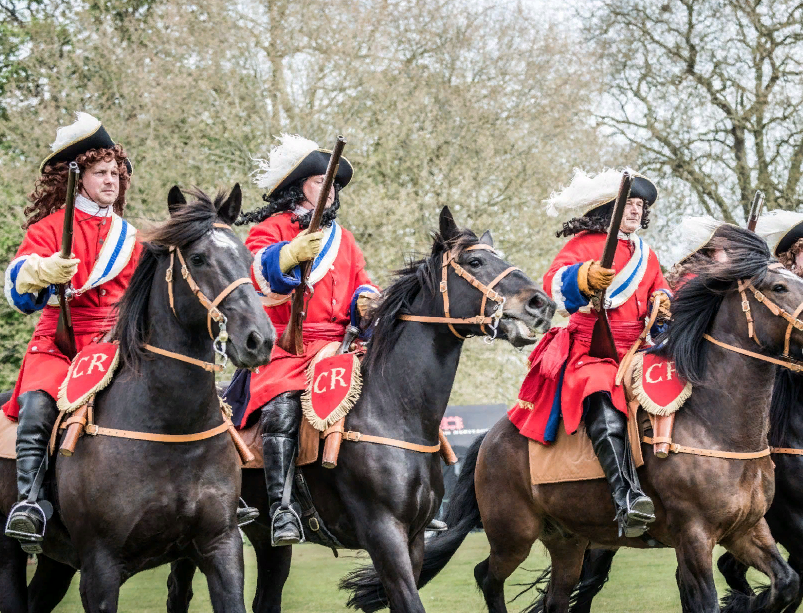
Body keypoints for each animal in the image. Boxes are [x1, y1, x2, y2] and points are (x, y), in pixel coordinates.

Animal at [0, 185, 274, 612]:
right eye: (198, 258)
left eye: (247, 257)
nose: (258, 340)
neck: (171, 431)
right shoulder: (101, 570)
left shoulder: (221, 549)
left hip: (55, 563)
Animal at [166, 207, 556, 612]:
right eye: (474, 262)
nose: (540, 304)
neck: (395, 412)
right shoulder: (383, 535)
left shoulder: (414, 540)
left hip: (265, 540)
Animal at [348, 225, 803, 612]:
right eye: (779, 286)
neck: (717, 426)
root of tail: (494, 436)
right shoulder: (694, 536)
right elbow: (707, 597)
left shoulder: (748, 530)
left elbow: (787, 584)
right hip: (514, 533)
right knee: (487, 576)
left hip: (569, 540)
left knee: (557, 597)